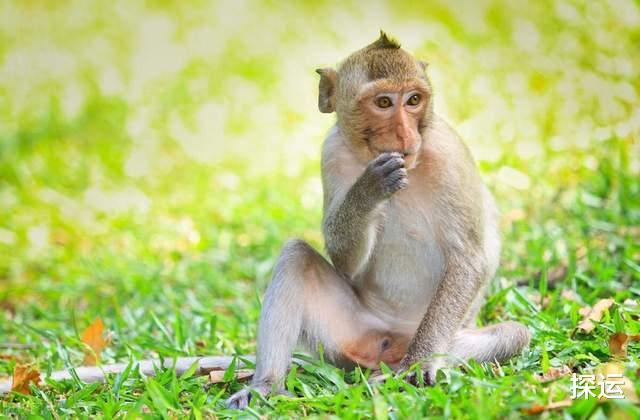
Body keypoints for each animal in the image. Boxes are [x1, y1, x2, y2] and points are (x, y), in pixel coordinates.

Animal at [225, 32, 528, 410]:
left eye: (414, 100)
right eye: (383, 102)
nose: (406, 136)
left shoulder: (448, 154)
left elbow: (468, 260)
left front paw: (420, 365)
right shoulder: (331, 151)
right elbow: (346, 264)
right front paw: (368, 189)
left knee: (513, 334)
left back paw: (400, 370)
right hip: (352, 333)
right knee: (296, 257)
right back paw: (266, 386)